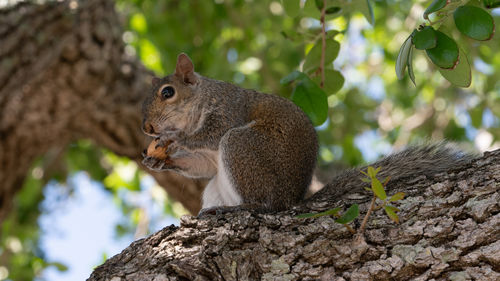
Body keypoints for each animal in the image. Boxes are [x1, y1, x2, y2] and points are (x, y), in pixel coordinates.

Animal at [143, 52, 474, 214]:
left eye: (168, 92)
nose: (147, 128)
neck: (198, 102)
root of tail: (293, 198)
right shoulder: (208, 159)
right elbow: (202, 165)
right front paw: (160, 160)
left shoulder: (228, 111)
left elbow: (211, 134)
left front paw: (175, 140)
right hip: (220, 184)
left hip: (243, 147)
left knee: (269, 206)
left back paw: (243, 209)